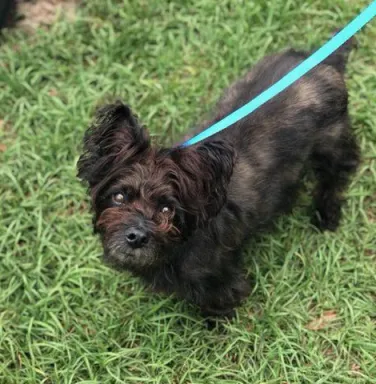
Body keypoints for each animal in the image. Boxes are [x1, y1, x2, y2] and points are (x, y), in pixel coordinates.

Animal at [78, 35, 360, 318]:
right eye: (119, 196)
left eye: (167, 209)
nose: (136, 236)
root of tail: (321, 60)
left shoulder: (219, 280)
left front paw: (213, 322)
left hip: (331, 142)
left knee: (342, 168)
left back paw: (326, 212)